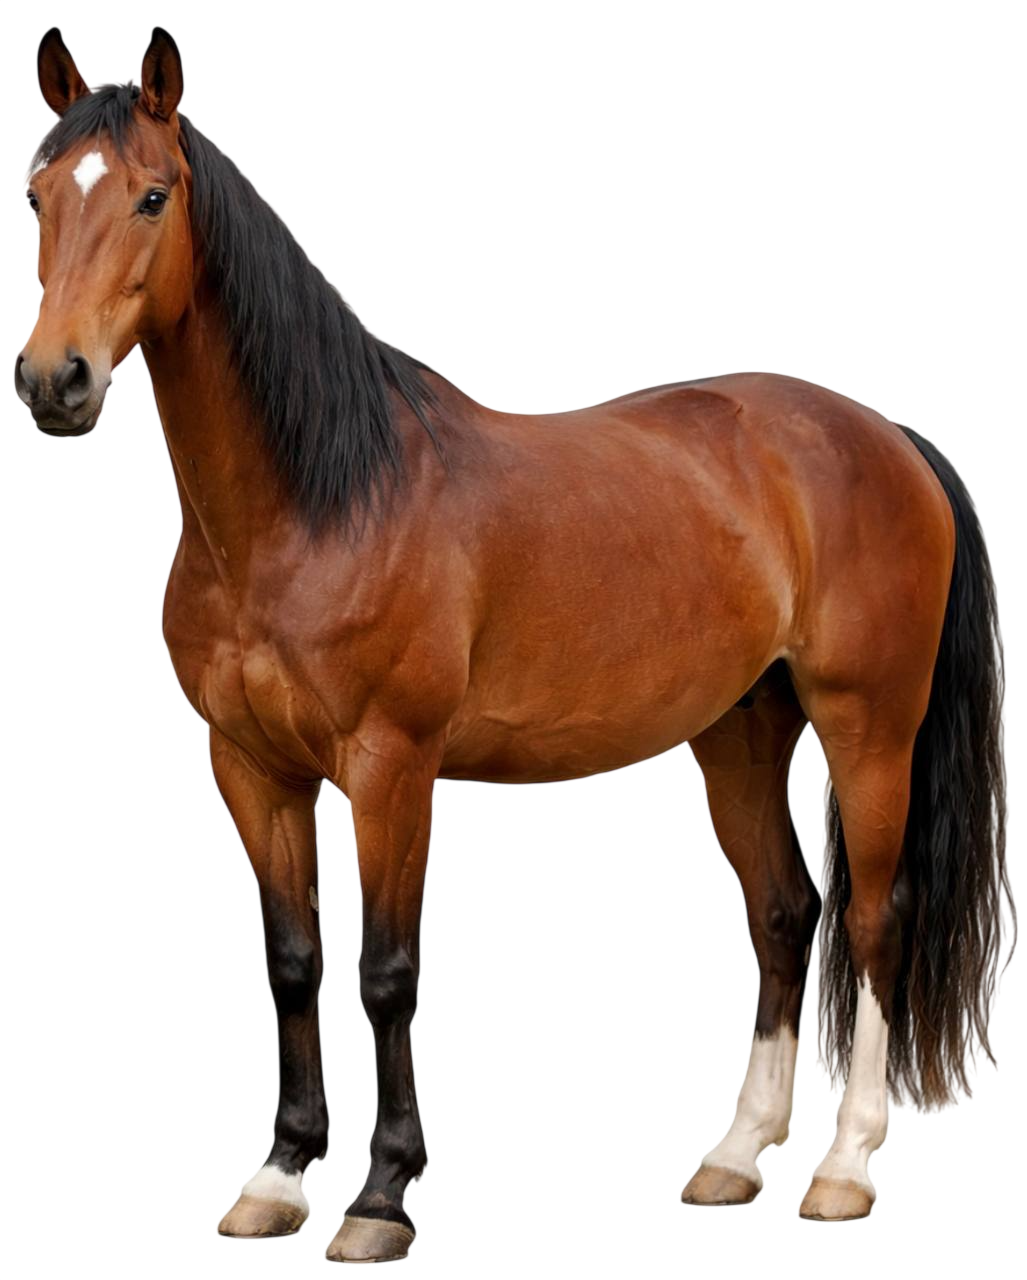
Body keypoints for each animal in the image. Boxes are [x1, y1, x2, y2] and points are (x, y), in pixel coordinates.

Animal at [17, 35, 1013, 1258]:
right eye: (36, 197)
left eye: (152, 196)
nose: (54, 379)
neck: (320, 502)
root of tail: (885, 434)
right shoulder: (250, 769)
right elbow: (293, 963)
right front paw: (277, 1179)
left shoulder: (391, 769)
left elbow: (385, 972)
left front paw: (380, 1198)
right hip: (740, 734)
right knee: (781, 919)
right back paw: (733, 1155)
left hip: (867, 727)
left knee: (871, 921)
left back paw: (843, 1164)